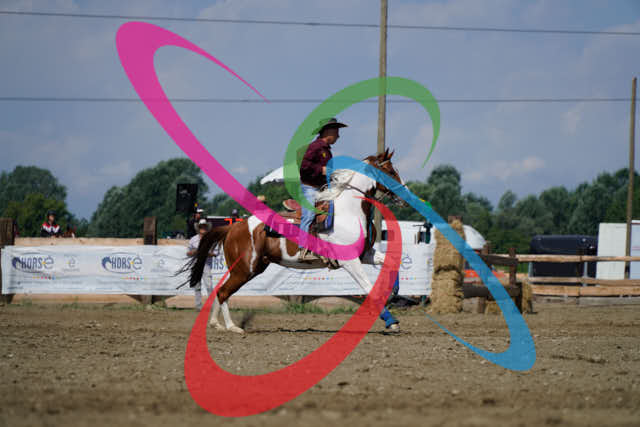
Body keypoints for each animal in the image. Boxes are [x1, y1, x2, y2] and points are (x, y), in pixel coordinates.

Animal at [187, 149, 404, 334]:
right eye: (390, 171)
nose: (404, 193)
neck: (349, 211)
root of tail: (233, 227)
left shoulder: (366, 254)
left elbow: (392, 262)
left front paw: (394, 292)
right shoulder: (349, 261)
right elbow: (368, 287)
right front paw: (391, 321)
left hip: (249, 268)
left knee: (220, 290)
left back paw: (216, 324)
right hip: (244, 269)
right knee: (223, 292)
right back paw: (232, 327)